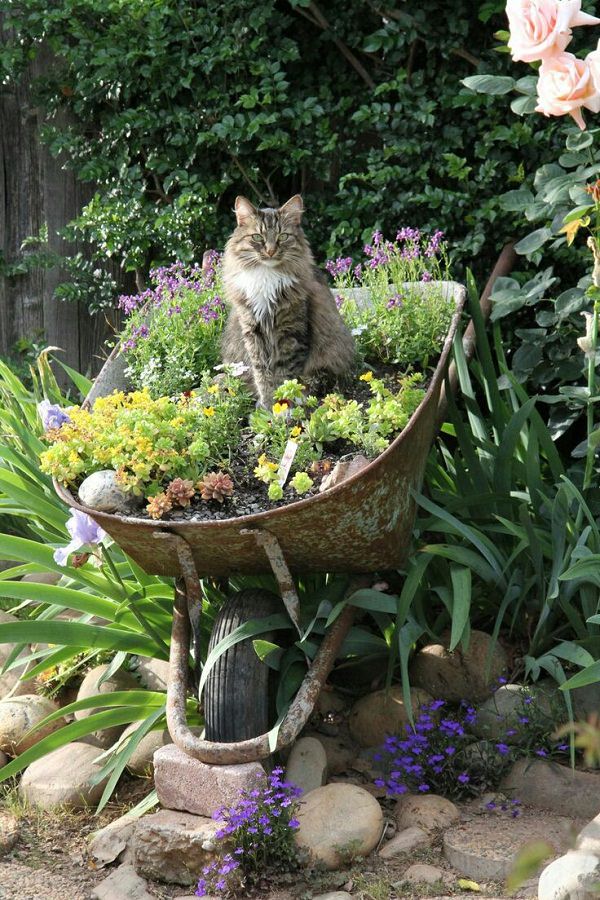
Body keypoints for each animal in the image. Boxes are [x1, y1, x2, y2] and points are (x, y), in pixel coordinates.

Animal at [221, 198, 356, 412]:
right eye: (257, 237)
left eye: (283, 236)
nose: (270, 251)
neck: (266, 276)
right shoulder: (253, 331)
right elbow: (262, 374)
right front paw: (268, 405)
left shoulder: (292, 332)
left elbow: (285, 375)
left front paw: (283, 404)